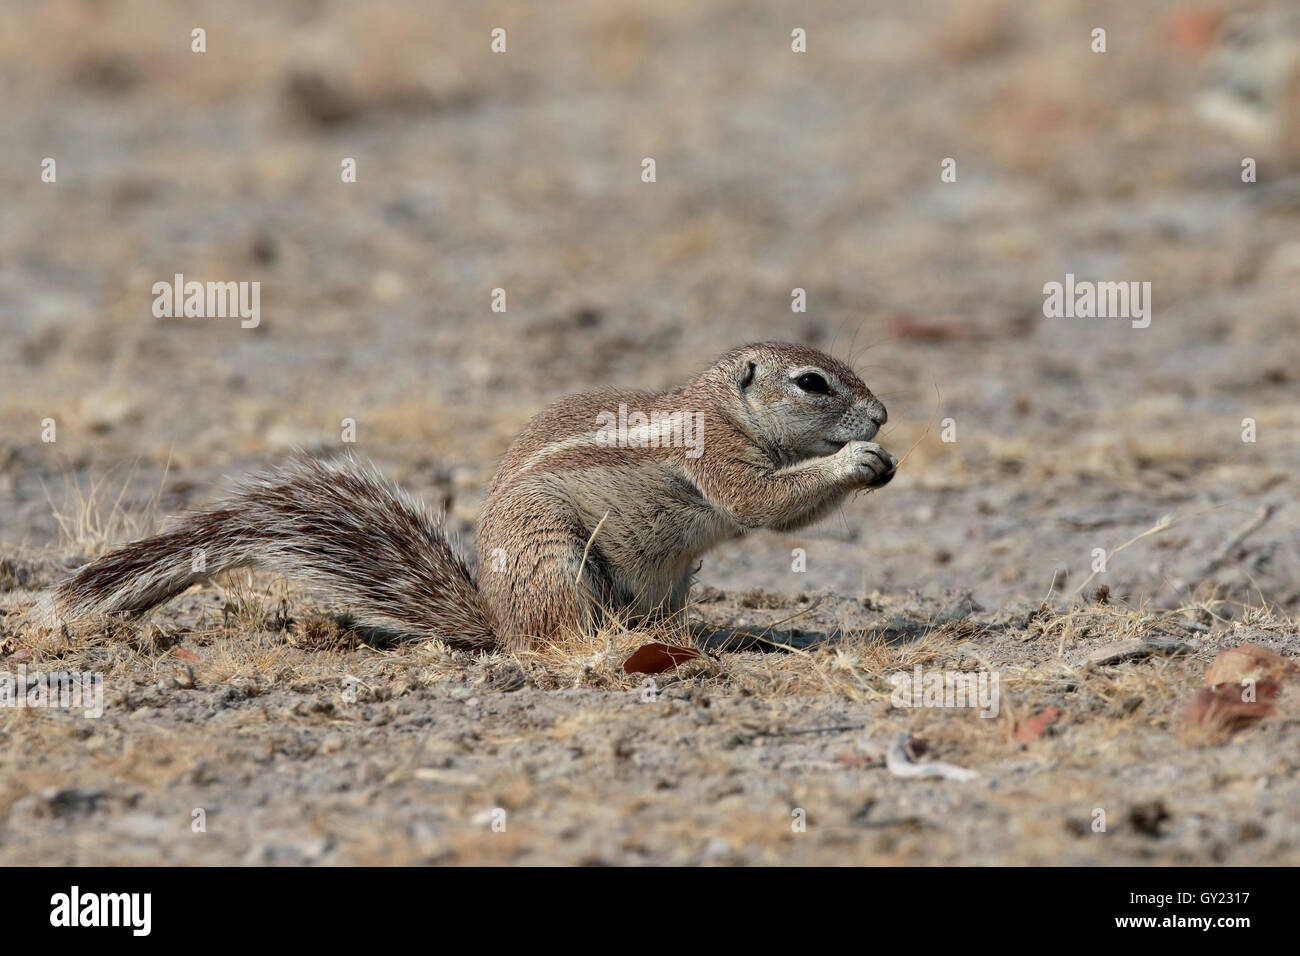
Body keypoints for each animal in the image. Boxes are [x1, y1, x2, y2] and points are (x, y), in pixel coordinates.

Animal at [38, 343, 894, 650]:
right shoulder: (715, 454)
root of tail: (496, 622)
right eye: (813, 383)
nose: (883, 415)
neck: (720, 406)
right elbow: (761, 502)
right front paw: (857, 460)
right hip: (554, 559)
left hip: (672, 580)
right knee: (556, 639)